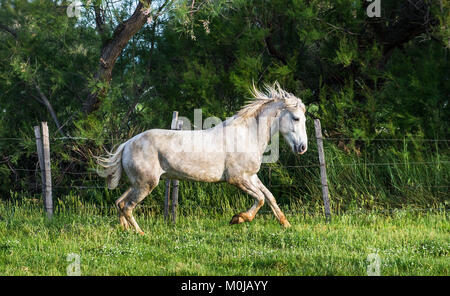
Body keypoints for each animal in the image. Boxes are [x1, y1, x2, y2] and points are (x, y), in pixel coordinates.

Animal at [96, 82, 308, 234]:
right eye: (296, 118)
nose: (302, 148)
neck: (247, 135)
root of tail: (127, 144)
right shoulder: (237, 178)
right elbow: (261, 198)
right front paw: (237, 218)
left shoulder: (251, 176)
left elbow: (269, 197)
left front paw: (286, 224)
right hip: (146, 184)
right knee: (128, 206)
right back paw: (140, 233)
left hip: (137, 183)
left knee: (119, 202)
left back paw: (125, 231)